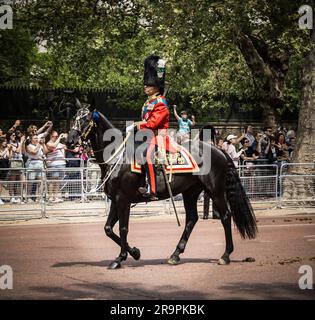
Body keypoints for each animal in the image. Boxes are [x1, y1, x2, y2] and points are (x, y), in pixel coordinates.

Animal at [67, 104, 256, 268]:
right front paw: (135, 252)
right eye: (74, 118)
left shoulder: (123, 199)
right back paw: (175, 254)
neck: (116, 156)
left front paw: (120, 258)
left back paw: (225, 255)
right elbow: (108, 229)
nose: (70, 141)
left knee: (225, 216)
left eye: (85, 119)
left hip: (215, 190)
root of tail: (218, 150)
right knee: (191, 219)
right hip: (190, 192)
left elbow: (123, 228)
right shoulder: (115, 199)